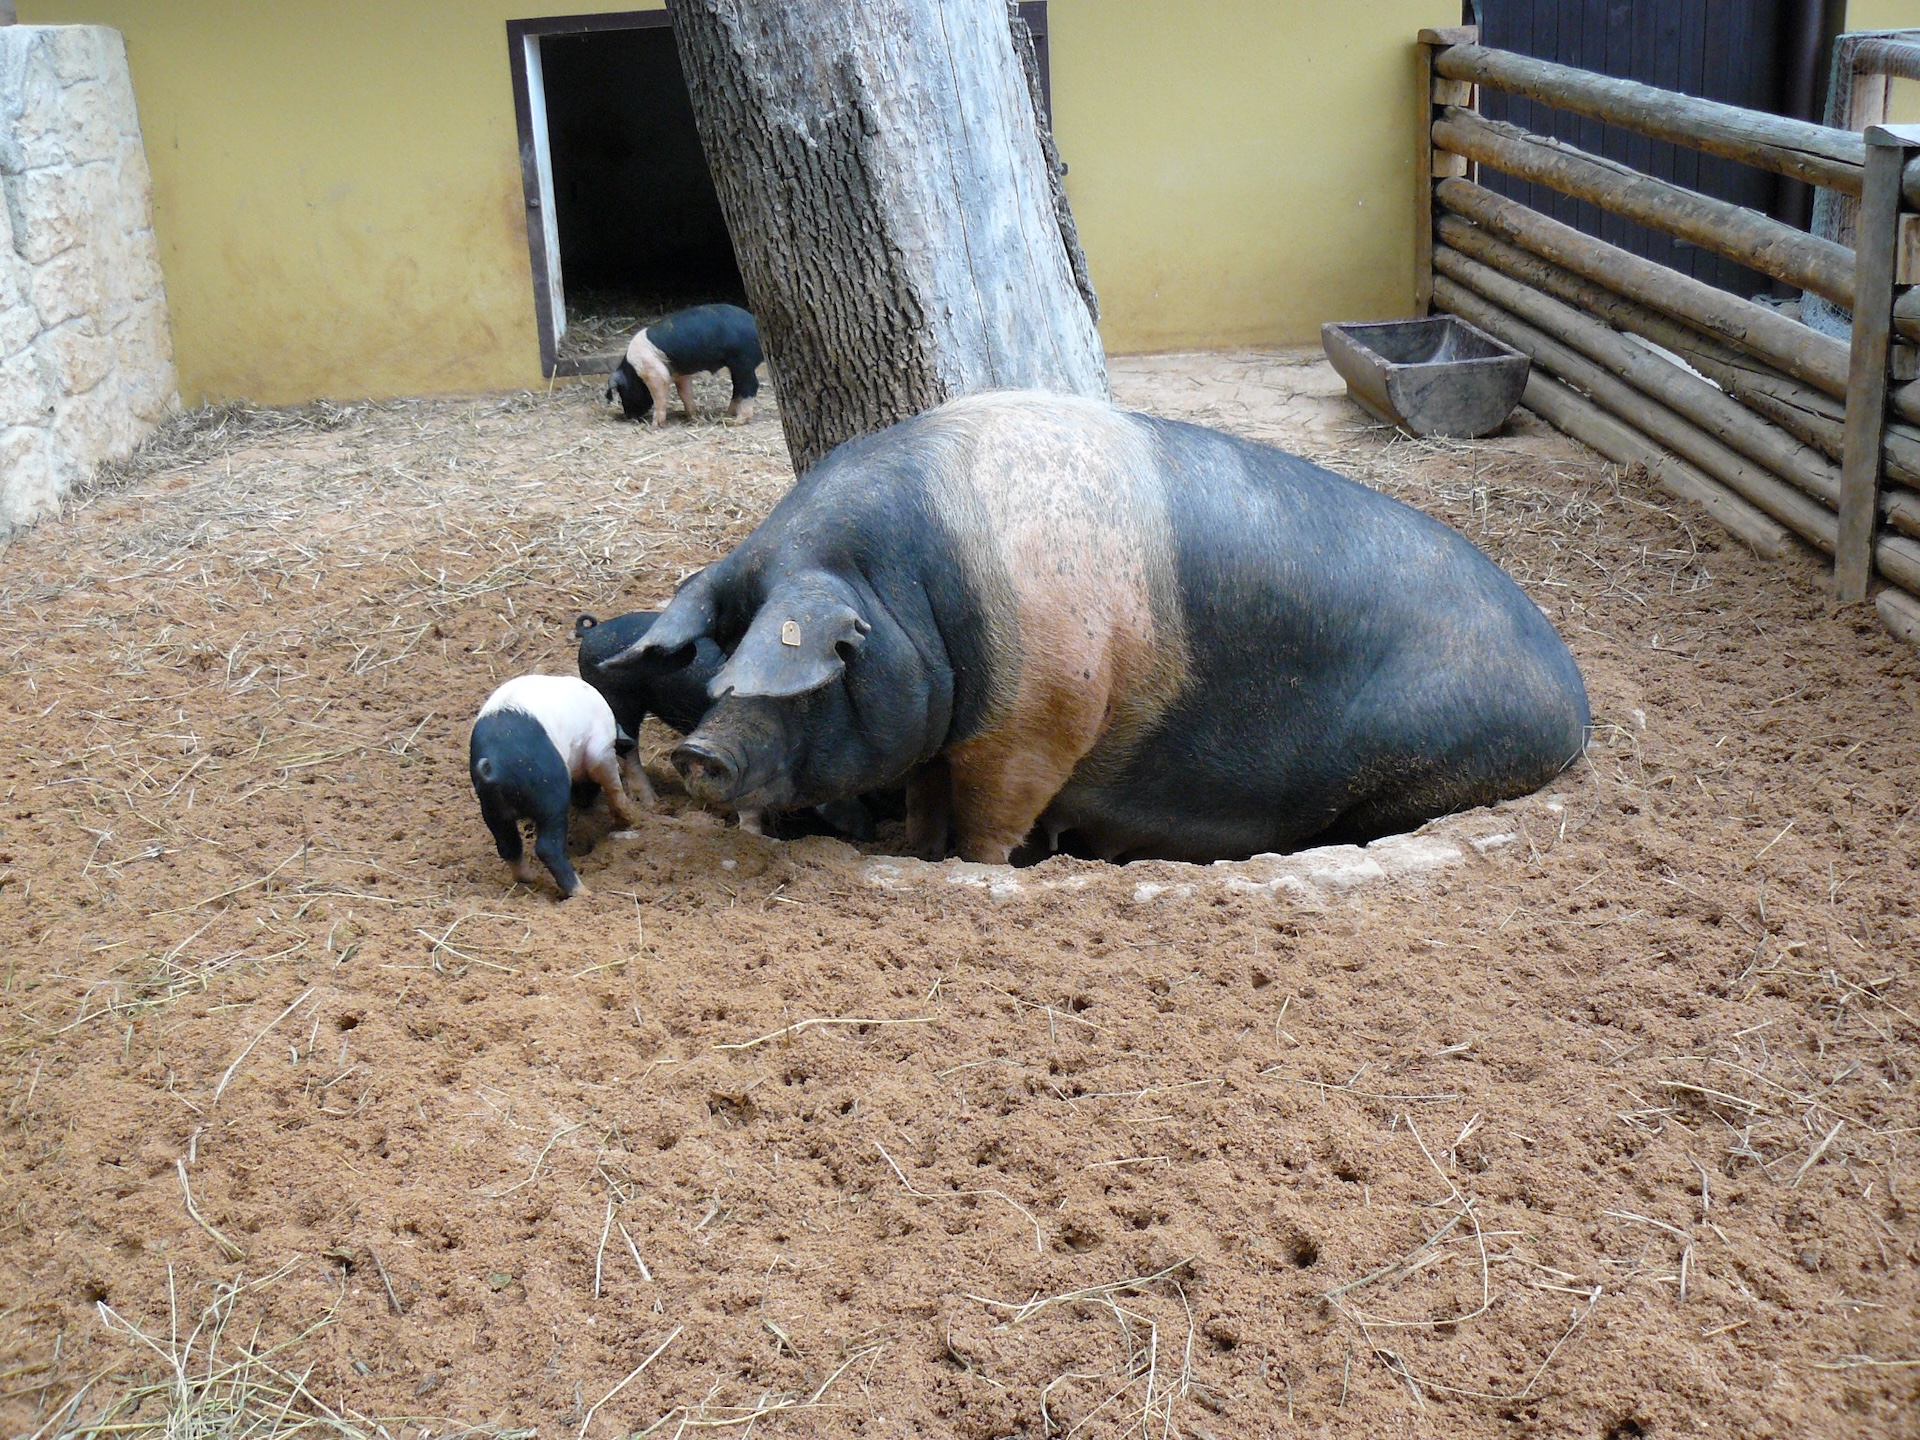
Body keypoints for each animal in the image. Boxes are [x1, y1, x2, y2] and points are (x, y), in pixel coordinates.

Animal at [468, 672, 648, 898]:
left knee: (508, 845)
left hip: (492, 810)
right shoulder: (601, 750)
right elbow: (612, 784)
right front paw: (629, 821)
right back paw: (584, 893)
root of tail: (494, 767)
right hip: (551, 799)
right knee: (547, 848)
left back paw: (530, 878)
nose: (584, 801)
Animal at [602, 389, 1589, 867]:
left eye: (828, 663)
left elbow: (988, 821)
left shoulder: (1040, 720)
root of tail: (1575, 701)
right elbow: (925, 798)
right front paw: (914, 852)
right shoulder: (946, 738)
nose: (697, 753)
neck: (921, 595)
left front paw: (978, 868)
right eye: (727, 646)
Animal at [610, 309, 768, 428]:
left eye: (622, 391)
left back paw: (738, 421)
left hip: (743, 361)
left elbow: (659, 395)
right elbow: (684, 393)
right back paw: (727, 414)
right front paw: (693, 416)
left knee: (751, 385)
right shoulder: (681, 373)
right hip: (736, 366)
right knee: (738, 387)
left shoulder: (655, 373)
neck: (633, 371)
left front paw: (655, 425)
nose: (629, 416)